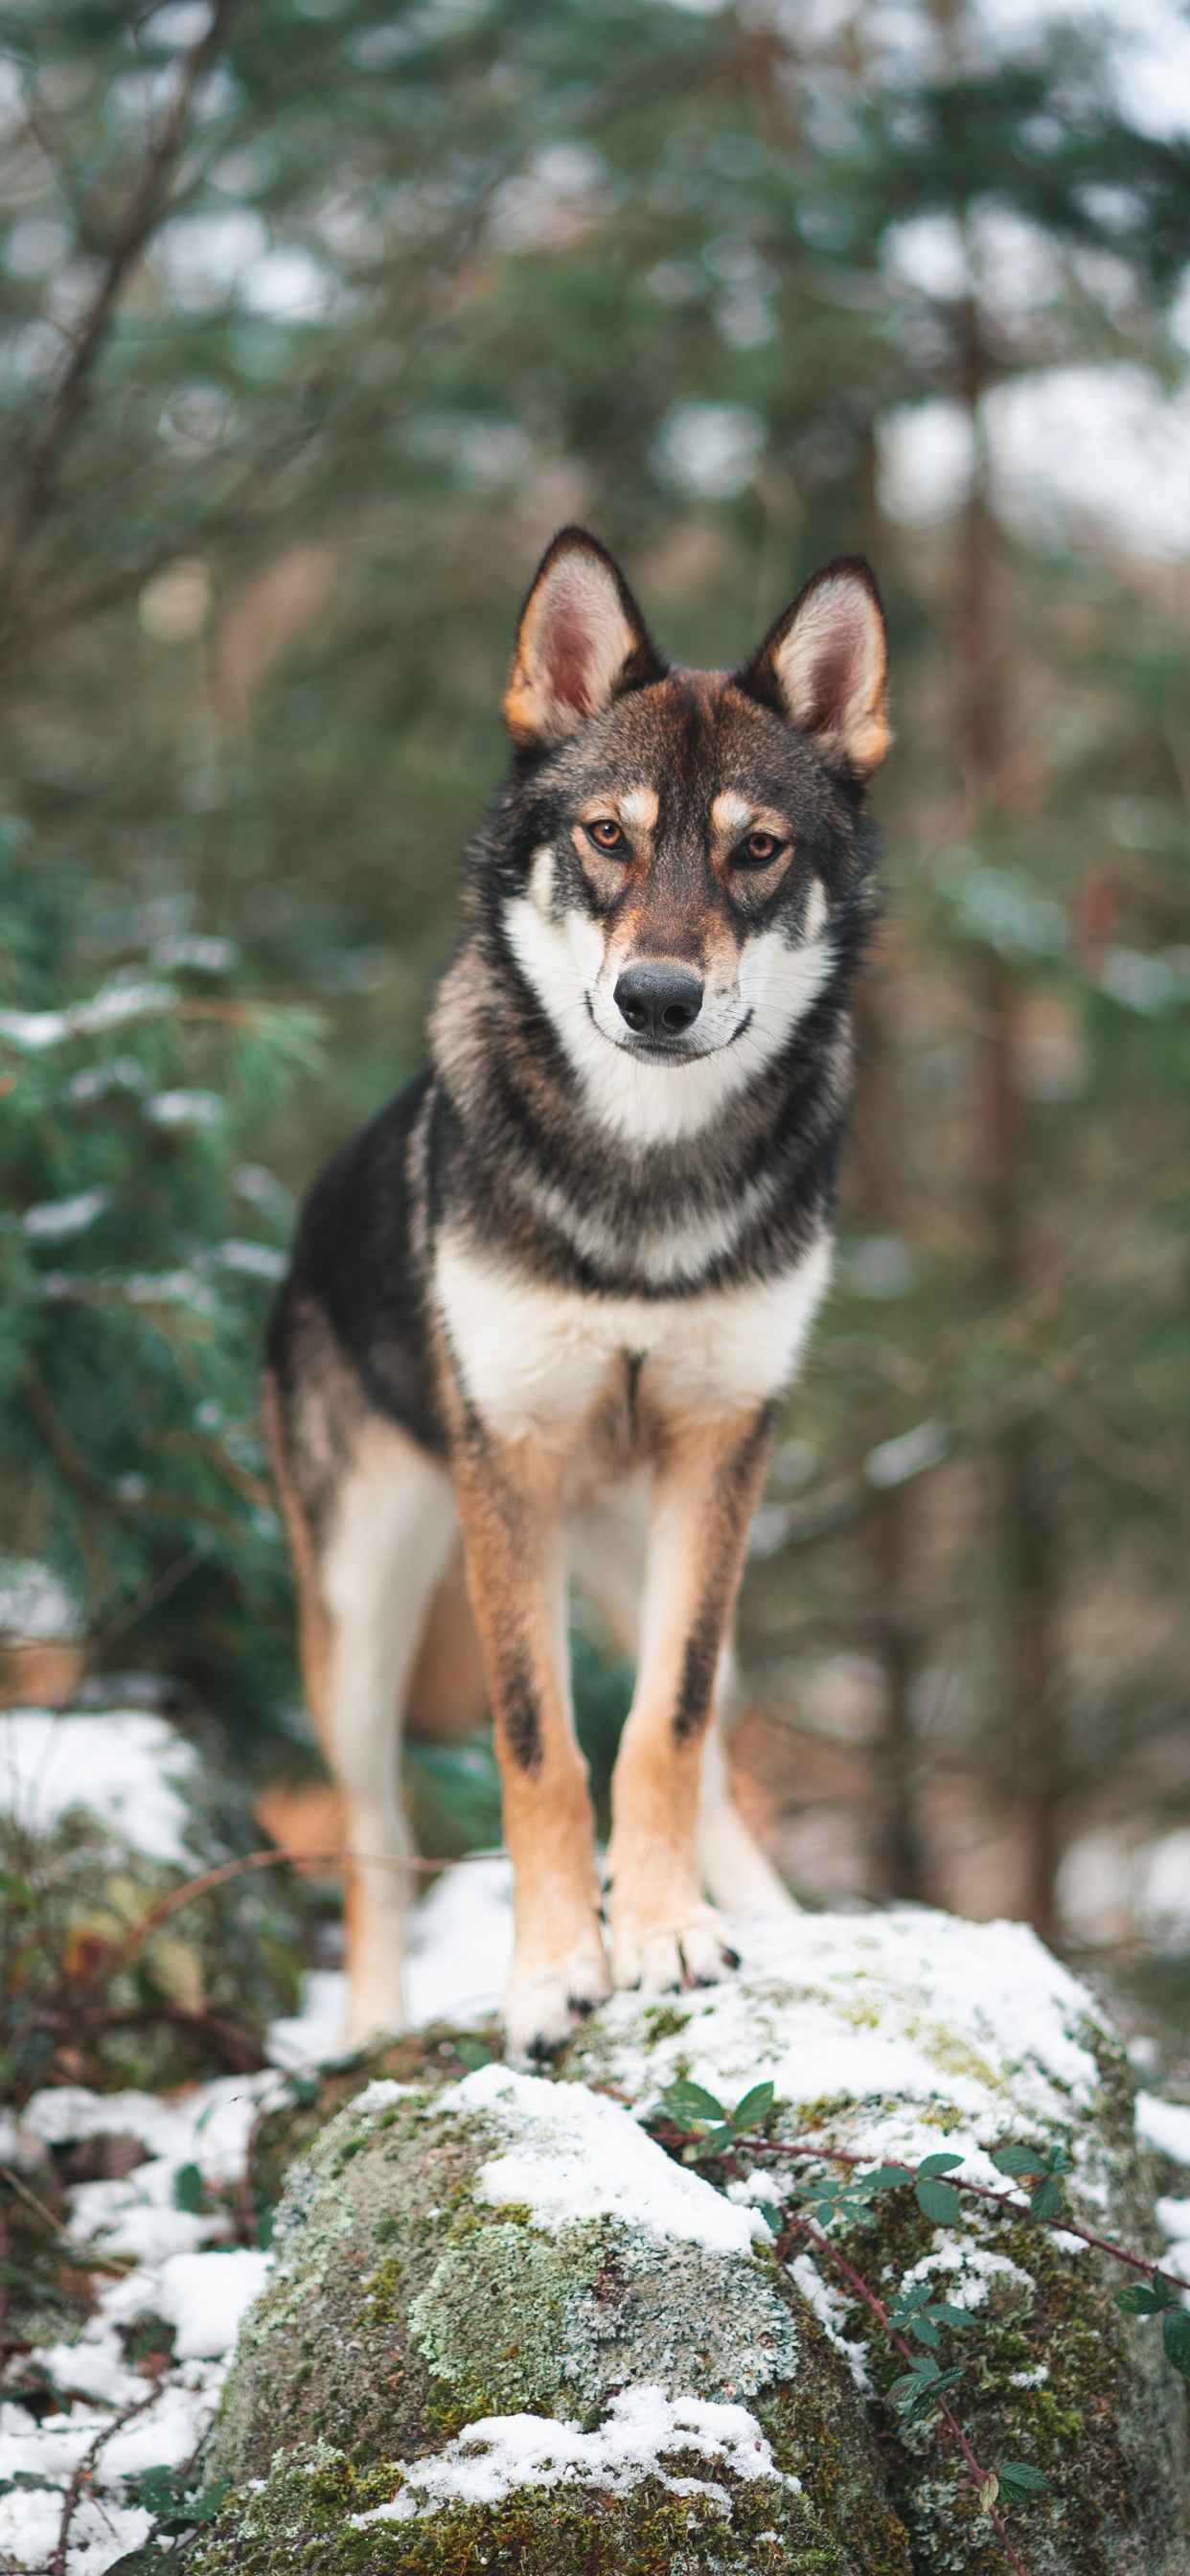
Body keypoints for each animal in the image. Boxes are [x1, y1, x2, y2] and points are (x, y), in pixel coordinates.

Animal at [264, 533, 885, 2060]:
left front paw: (663, 1937)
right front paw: (553, 1974)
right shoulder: (515, 1466)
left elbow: (661, 1728)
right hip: (362, 1614)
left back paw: (771, 1921)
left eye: (756, 850)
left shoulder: (724, 1448)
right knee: (370, 1837)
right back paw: (368, 2031)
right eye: (608, 836)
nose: (658, 998)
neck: (640, 1187)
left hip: (659, 1548)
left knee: (708, 1747)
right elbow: (537, 1747)